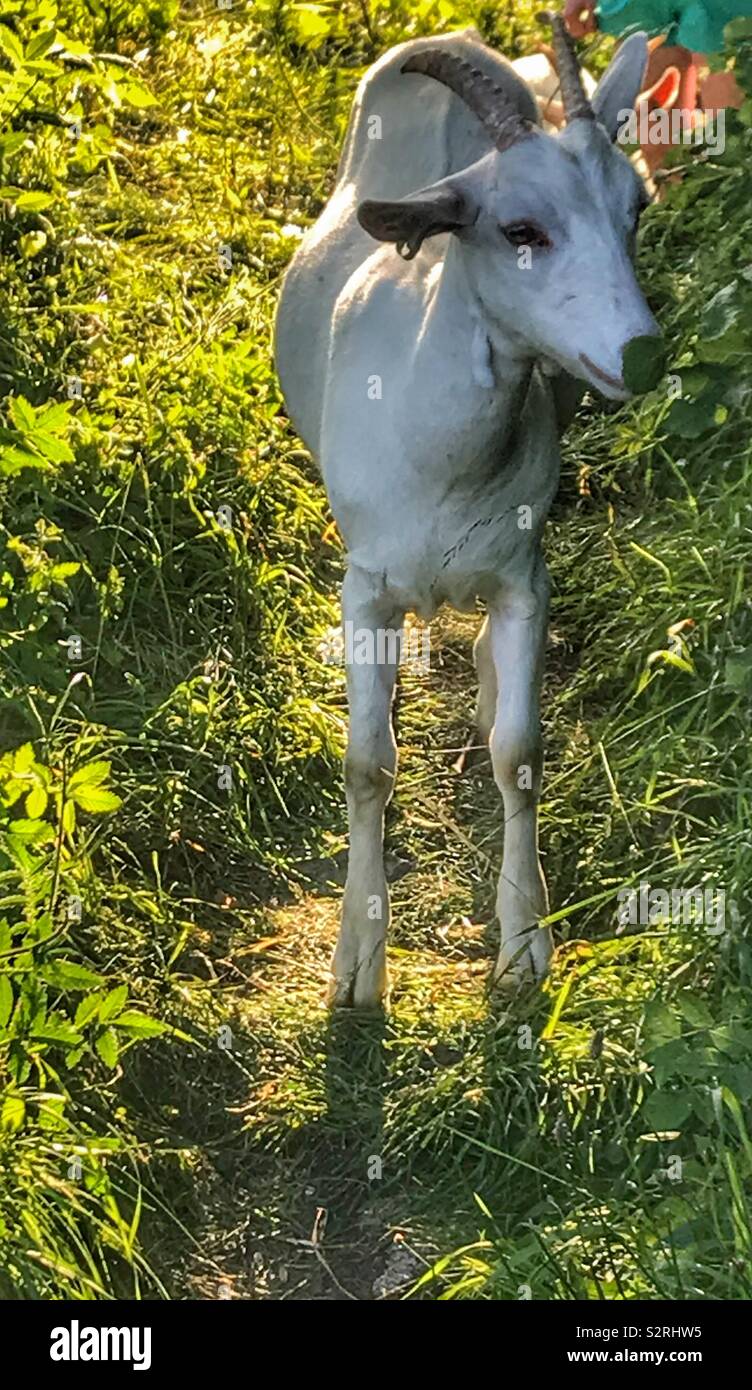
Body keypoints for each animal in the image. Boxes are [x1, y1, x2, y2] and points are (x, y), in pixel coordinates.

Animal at [274, 15, 661, 1008]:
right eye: (520, 229)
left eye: (635, 210)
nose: (640, 354)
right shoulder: (365, 584)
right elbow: (367, 762)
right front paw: (358, 964)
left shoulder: (525, 573)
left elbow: (520, 751)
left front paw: (525, 942)